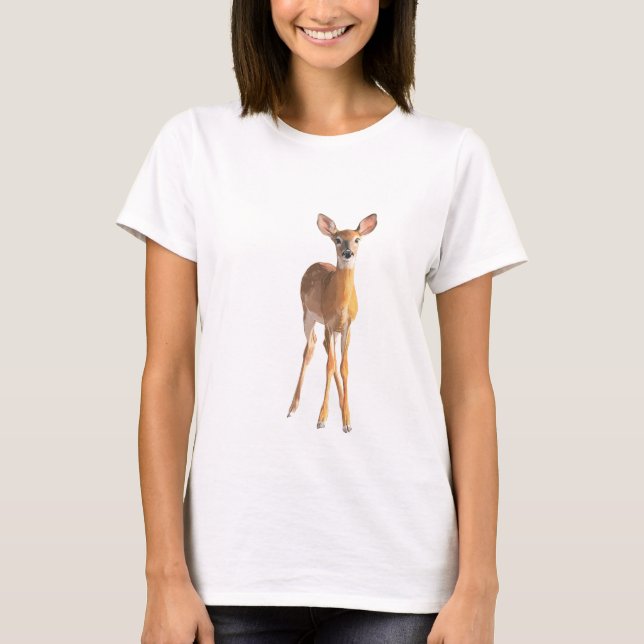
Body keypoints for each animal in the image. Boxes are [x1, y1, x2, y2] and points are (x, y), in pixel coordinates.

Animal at [287, 212, 378, 432]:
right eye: (337, 239)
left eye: (357, 239)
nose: (347, 253)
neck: (341, 305)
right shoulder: (328, 321)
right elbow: (328, 366)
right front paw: (322, 418)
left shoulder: (347, 326)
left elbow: (343, 366)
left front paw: (347, 420)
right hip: (307, 314)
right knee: (310, 347)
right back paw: (292, 407)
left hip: (332, 329)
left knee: (325, 347)